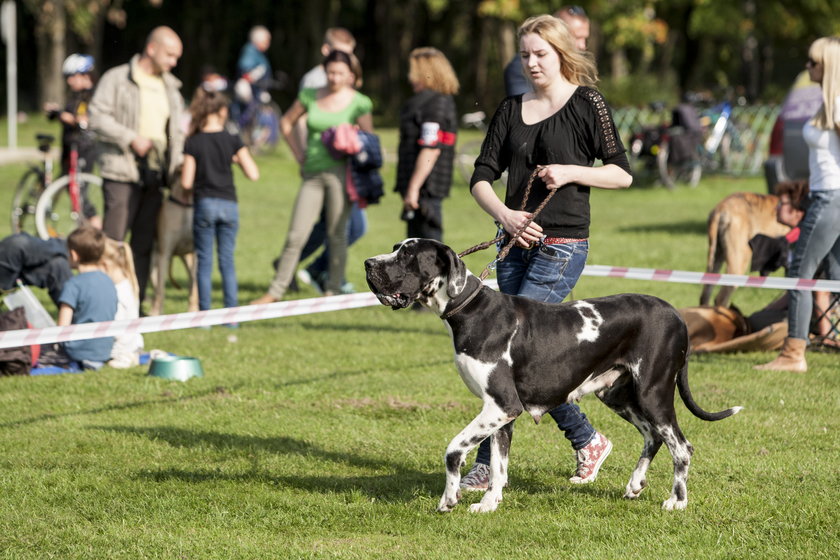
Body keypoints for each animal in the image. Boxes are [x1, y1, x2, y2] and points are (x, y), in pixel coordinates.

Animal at [149, 179, 199, 316]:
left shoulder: (197, 253)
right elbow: (161, 289)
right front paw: (156, 314)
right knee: (156, 289)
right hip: (153, 264)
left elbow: (194, 287)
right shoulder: (164, 254)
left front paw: (194, 310)